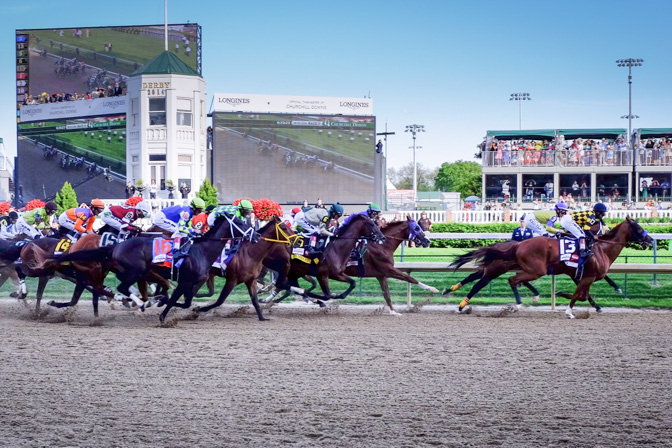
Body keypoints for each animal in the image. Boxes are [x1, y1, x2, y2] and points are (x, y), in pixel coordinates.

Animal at [453, 217, 652, 318]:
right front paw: (568, 310)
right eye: (638, 227)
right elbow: (579, 295)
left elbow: (584, 295)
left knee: (482, 278)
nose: (650, 240)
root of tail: (518, 244)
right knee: (504, 280)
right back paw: (516, 303)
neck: (600, 248)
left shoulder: (581, 276)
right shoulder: (585, 276)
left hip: (513, 268)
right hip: (528, 269)